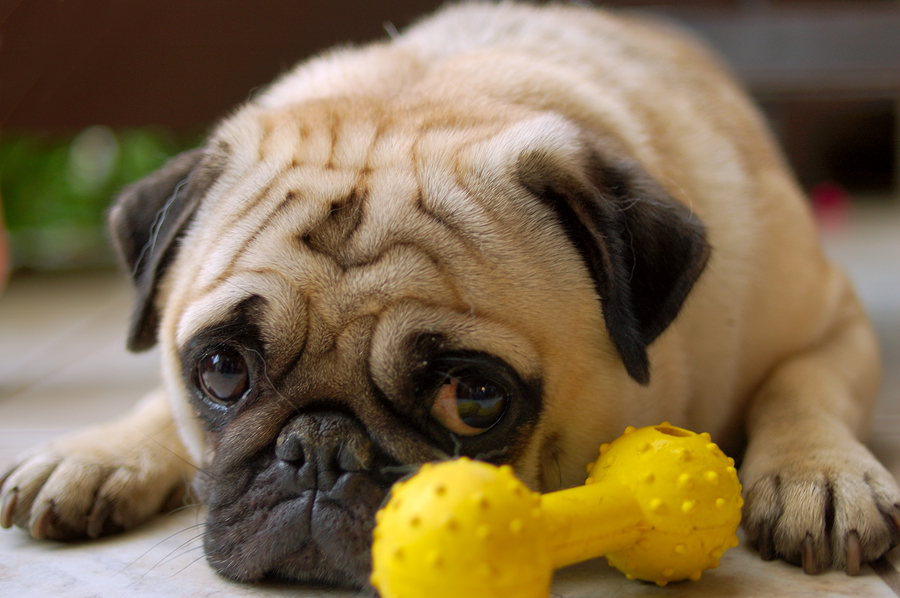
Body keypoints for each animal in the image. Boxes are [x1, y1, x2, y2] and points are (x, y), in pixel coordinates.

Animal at [1, 1, 900, 592]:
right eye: (221, 370)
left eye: (473, 399)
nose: (319, 448)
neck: (435, 90)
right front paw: (105, 451)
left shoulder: (835, 323)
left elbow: (801, 385)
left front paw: (819, 475)